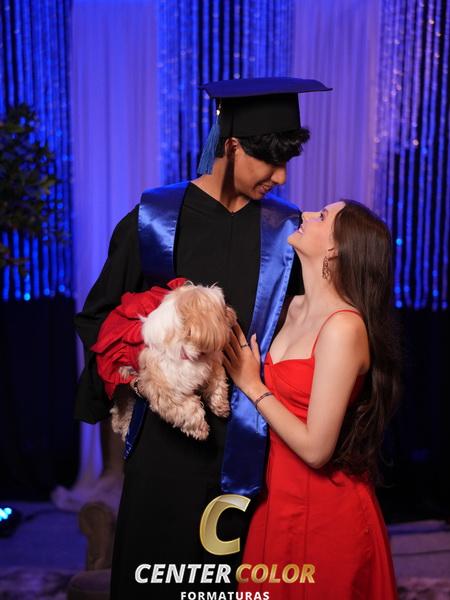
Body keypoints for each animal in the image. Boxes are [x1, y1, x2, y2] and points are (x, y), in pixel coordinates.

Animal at [111, 282, 237, 441]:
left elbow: (218, 383)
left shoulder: (210, 365)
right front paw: (200, 429)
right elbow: (187, 409)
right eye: (223, 309)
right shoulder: (166, 391)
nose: (231, 311)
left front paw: (220, 405)